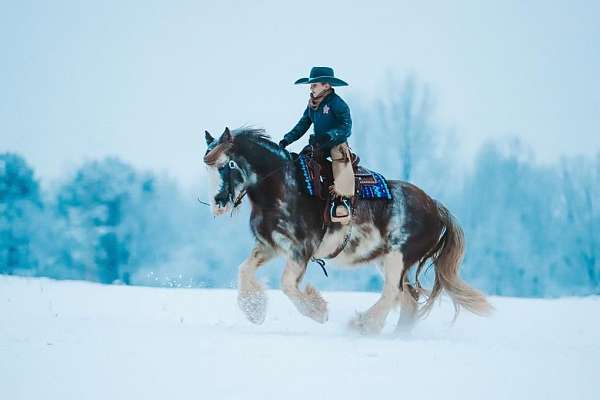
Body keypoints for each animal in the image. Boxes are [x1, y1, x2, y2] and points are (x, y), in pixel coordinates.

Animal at [203, 126, 492, 332]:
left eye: (228, 164)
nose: (219, 202)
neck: (282, 187)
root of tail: (436, 207)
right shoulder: (269, 246)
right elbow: (244, 270)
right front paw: (254, 309)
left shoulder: (300, 250)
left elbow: (286, 284)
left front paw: (317, 310)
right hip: (388, 259)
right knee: (407, 298)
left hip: (398, 257)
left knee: (393, 292)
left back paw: (363, 324)